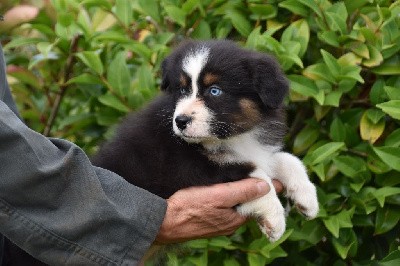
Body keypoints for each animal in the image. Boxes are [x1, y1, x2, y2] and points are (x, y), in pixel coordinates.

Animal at [91, 40, 318, 241]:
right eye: (182, 90)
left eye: (214, 90)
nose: (180, 121)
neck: (231, 137)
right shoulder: (186, 168)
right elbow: (254, 173)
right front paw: (274, 218)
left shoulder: (255, 150)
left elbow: (285, 159)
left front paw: (307, 197)